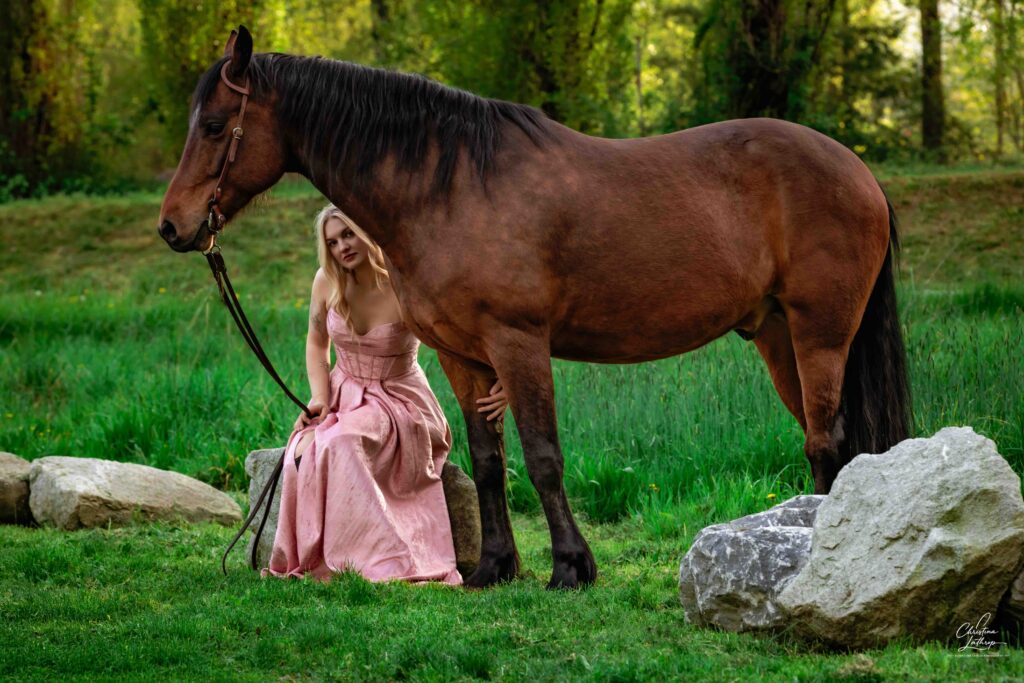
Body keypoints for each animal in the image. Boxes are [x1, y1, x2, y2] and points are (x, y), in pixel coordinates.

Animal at [158, 26, 911, 590]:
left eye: (217, 124)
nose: (173, 226)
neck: (451, 186)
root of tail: (860, 171)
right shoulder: (463, 356)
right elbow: (490, 460)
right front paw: (495, 564)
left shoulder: (518, 343)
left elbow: (544, 455)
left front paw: (571, 566)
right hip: (778, 335)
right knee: (828, 438)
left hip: (820, 335)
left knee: (825, 439)